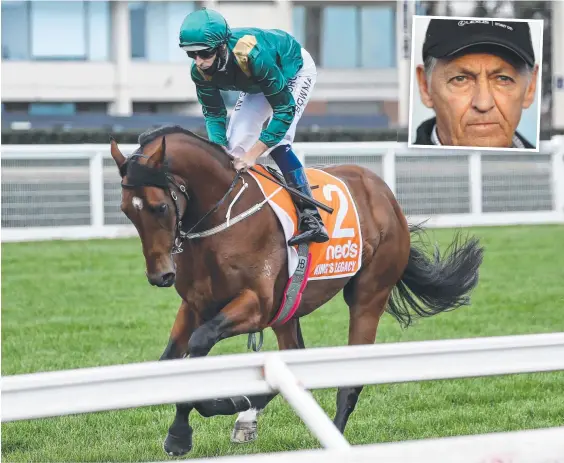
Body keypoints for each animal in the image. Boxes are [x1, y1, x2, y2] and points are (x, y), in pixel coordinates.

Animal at [109, 125, 484, 458]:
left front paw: (211, 411)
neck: (221, 219)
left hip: (368, 294)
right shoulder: (196, 304)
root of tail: (385, 193)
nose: (160, 275)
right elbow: (170, 362)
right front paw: (183, 431)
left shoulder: (257, 304)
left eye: (159, 206)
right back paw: (248, 414)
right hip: (287, 308)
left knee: (352, 379)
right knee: (296, 356)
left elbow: (200, 342)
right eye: (126, 210)